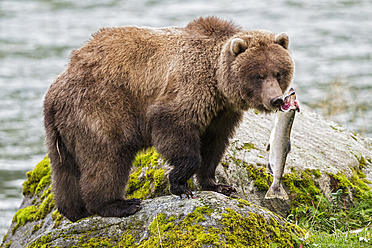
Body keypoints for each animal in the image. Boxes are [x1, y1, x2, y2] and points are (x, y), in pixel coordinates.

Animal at [43, 16, 294, 221]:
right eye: (258, 75)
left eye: (278, 72)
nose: (276, 100)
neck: (218, 82)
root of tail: (57, 88)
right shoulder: (188, 89)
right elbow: (174, 127)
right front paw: (180, 184)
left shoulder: (221, 113)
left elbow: (214, 144)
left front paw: (218, 185)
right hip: (101, 109)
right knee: (107, 159)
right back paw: (118, 204)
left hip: (63, 131)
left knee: (64, 170)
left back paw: (74, 210)